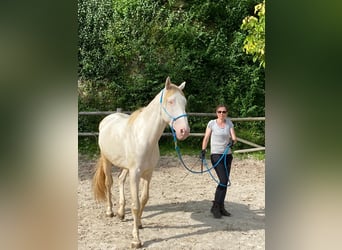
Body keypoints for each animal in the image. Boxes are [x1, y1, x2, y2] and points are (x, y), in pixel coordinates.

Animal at [93, 76, 190, 248]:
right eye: (171, 101)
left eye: (184, 102)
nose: (183, 131)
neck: (144, 137)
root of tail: (107, 120)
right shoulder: (135, 174)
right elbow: (136, 205)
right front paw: (136, 240)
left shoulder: (148, 173)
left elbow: (144, 199)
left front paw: (138, 224)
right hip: (107, 160)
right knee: (109, 183)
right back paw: (110, 211)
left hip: (125, 167)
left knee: (120, 180)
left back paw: (120, 213)